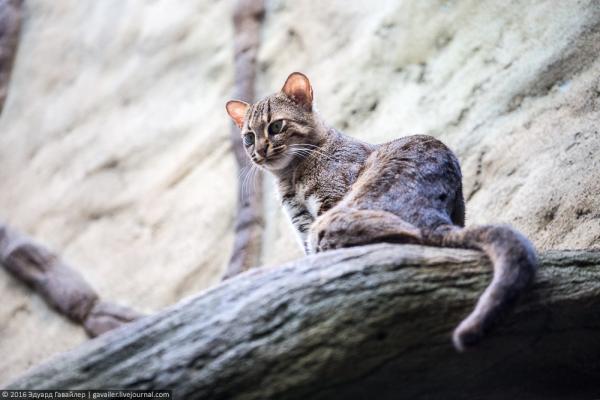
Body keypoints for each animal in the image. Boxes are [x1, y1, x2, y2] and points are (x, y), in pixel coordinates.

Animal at [225, 73, 540, 352]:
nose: (258, 151)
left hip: (335, 222)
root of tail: (432, 213)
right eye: (248, 138)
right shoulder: (301, 224)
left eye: (276, 126)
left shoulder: (328, 202)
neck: (290, 176)